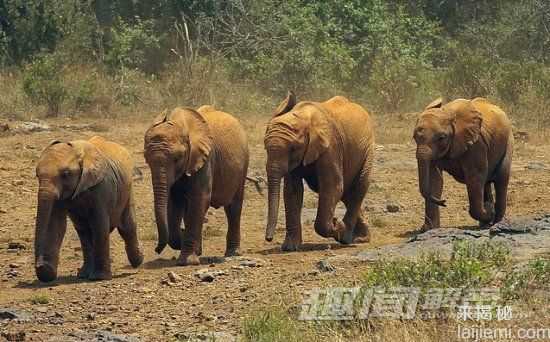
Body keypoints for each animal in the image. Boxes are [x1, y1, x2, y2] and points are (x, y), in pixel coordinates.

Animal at [33, 135, 143, 282]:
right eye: (37, 175)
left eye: (65, 174)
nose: (40, 265)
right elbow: (55, 222)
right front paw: (47, 272)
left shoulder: (102, 187)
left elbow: (99, 224)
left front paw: (99, 278)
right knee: (84, 231)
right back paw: (83, 274)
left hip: (127, 190)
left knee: (127, 227)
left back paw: (138, 261)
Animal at [146, 105, 251, 266]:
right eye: (146, 160)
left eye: (177, 158)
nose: (157, 250)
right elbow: (174, 202)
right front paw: (186, 243)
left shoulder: (205, 159)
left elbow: (199, 199)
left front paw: (187, 261)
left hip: (243, 164)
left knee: (233, 207)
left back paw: (233, 253)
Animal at [264, 91, 376, 251]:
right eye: (265, 148)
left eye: (292, 149)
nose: (269, 239)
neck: (302, 117)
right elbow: (292, 191)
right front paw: (289, 248)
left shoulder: (331, 147)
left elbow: (332, 186)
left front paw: (337, 225)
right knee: (347, 193)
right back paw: (359, 238)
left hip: (367, 150)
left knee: (358, 188)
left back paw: (347, 237)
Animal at [416, 97, 516, 230]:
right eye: (414, 137)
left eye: (442, 138)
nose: (444, 202)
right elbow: (434, 179)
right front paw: (428, 229)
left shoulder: (476, 144)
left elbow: (475, 176)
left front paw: (489, 211)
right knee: (486, 182)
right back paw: (486, 221)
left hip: (508, 141)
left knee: (501, 179)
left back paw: (495, 222)